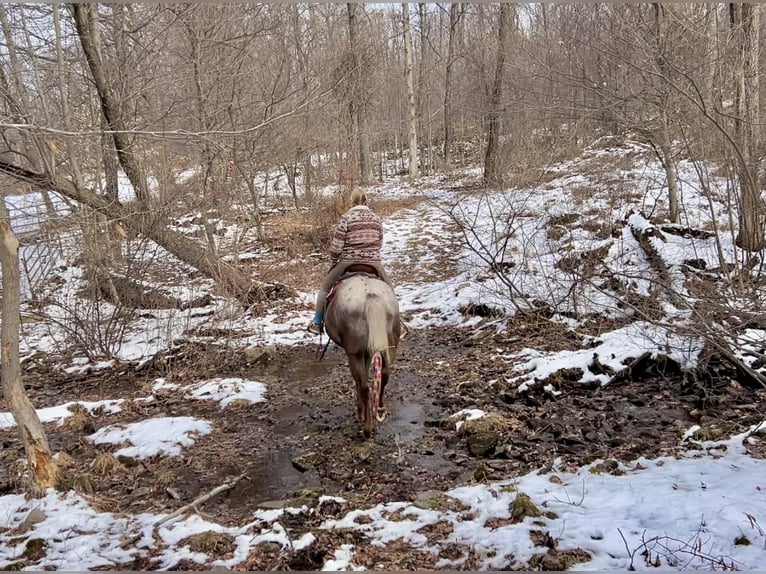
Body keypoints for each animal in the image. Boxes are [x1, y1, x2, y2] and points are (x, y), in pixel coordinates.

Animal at [322, 264, 401, 438]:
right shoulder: (368, 351)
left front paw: (360, 411)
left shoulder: (356, 353)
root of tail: (371, 297)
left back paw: (366, 426)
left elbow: (358, 380)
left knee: (364, 386)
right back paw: (379, 409)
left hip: (354, 353)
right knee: (384, 375)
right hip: (388, 346)